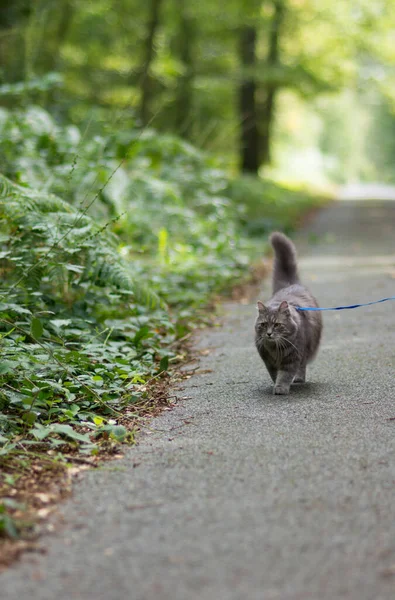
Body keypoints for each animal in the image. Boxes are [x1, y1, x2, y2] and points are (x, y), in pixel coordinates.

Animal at [255, 232, 324, 396]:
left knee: (302, 366)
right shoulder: (268, 361)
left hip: (306, 350)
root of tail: (290, 284)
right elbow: (275, 374)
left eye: (277, 325)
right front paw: (276, 385)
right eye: (263, 324)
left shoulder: (292, 358)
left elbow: (285, 375)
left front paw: (281, 388)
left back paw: (298, 379)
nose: (268, 334)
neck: (275, 349)